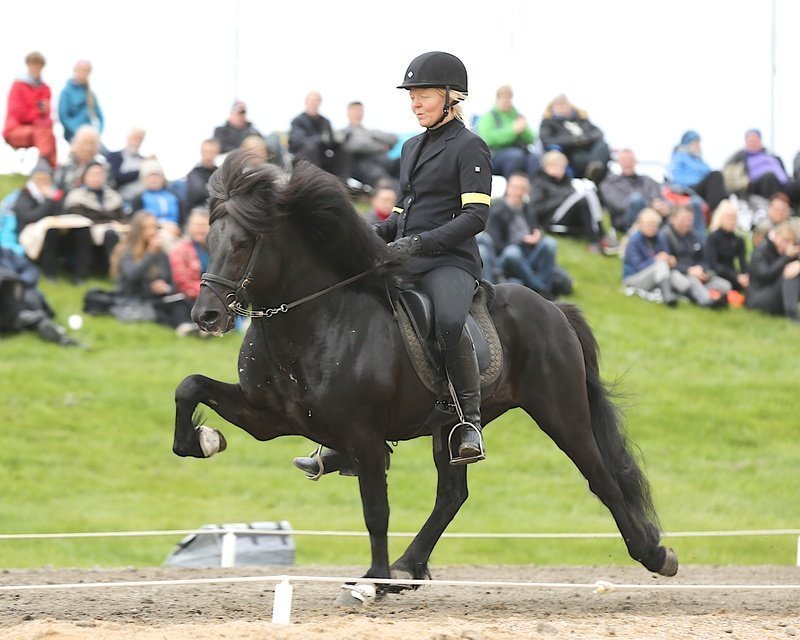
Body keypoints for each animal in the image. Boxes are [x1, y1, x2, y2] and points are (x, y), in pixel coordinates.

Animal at [173, 151, 678, 600]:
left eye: (243, 243)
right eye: (207, 240)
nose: (206, 315)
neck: (310, 322)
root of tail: (553, 308)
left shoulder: (363, 435)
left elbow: (376, 510)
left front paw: (371, 582)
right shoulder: (268, 417)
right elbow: (189, 386)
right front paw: (204, 440)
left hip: (560, 412)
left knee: (601, 477)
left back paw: (656, 555)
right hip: (451, 425)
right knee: (453, 494)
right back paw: (408, 566)